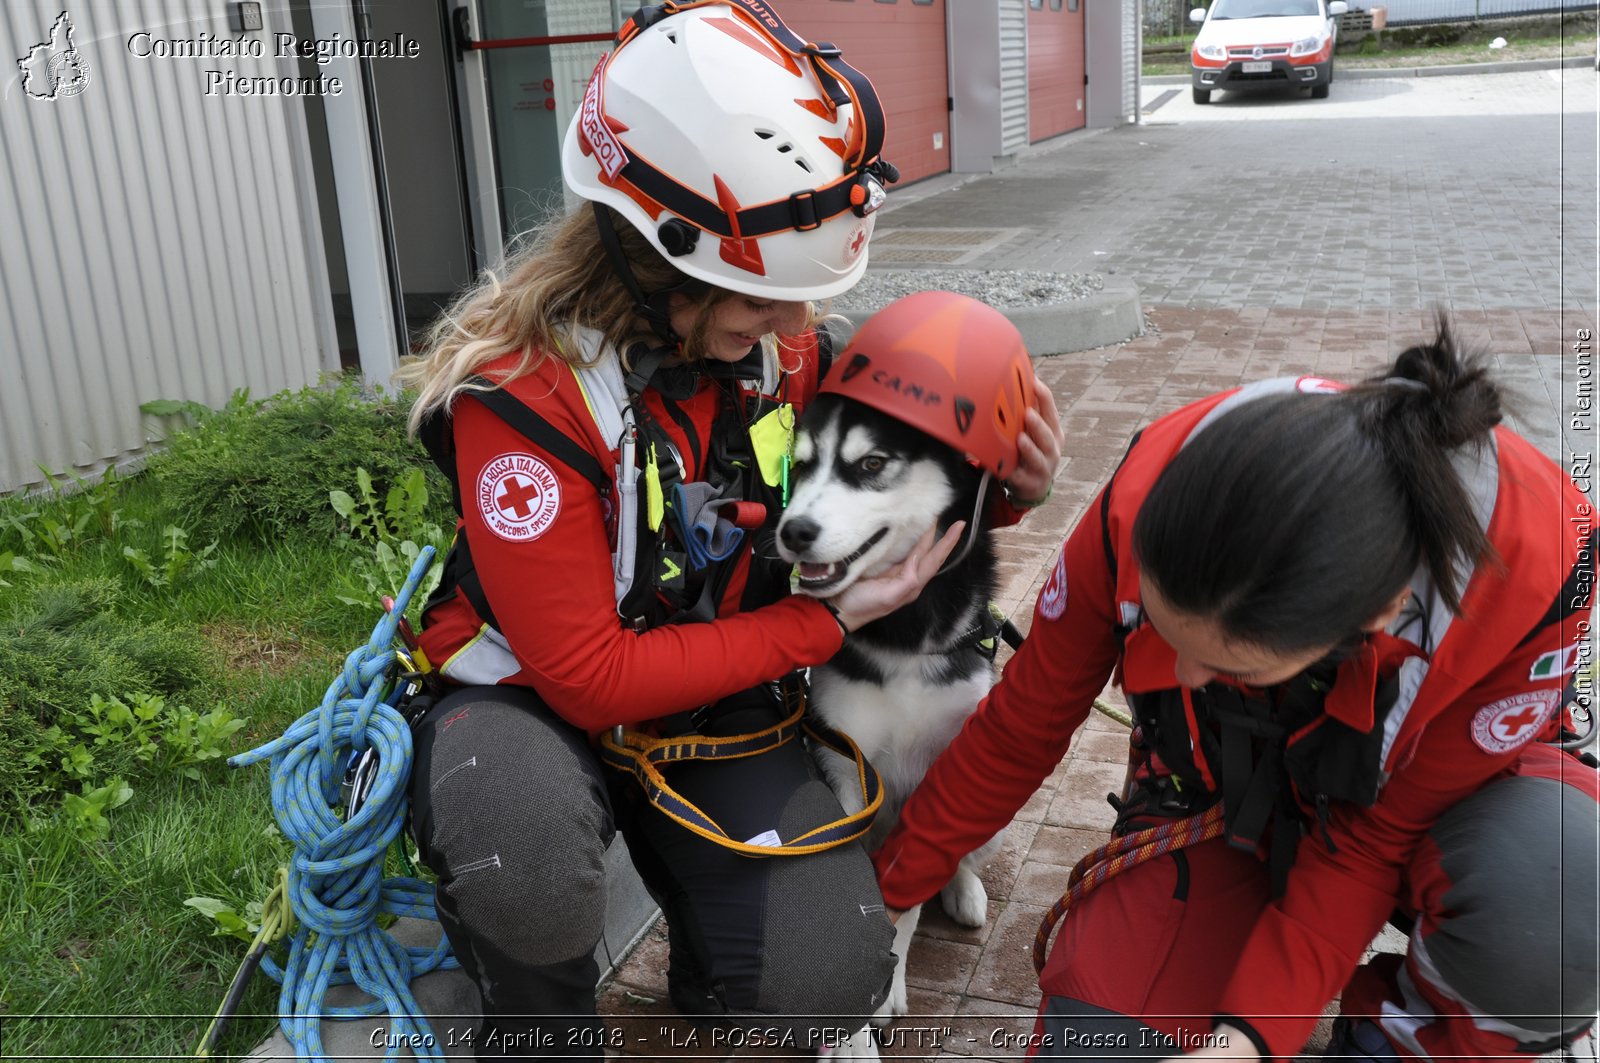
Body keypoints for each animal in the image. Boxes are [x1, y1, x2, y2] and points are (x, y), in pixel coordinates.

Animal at [774, 392, 998, 1043]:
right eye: (801, 465)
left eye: (871, 464)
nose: (793, 531)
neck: (901, 635)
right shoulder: (843, 761)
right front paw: (849, 1032)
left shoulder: (941, 770)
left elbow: (913, 885)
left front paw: (888, 985)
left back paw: (965, 890)